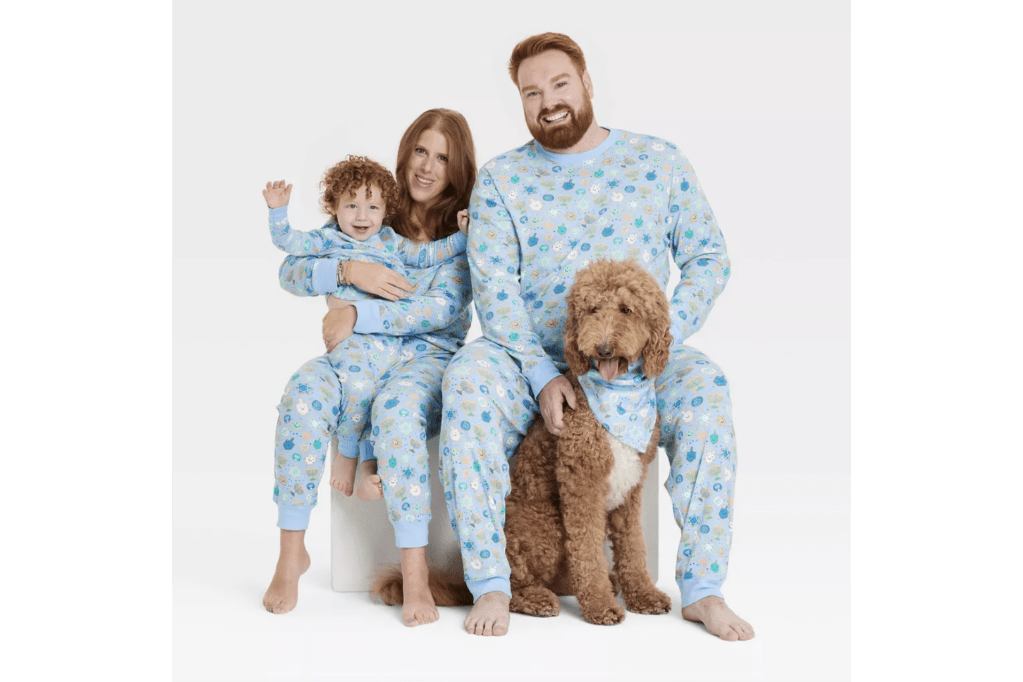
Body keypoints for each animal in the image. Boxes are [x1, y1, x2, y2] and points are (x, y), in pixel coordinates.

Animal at [505, 258, 679, 625]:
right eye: (591, 309)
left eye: (627, 309)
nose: (603, 348)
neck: (618, 397)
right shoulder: (582, 483)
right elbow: (587, 552)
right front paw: (599, 605)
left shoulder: (631, 488)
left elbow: (633, 547)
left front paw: (642, 594)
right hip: (546, 526)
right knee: (512, 581)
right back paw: (535, 599)